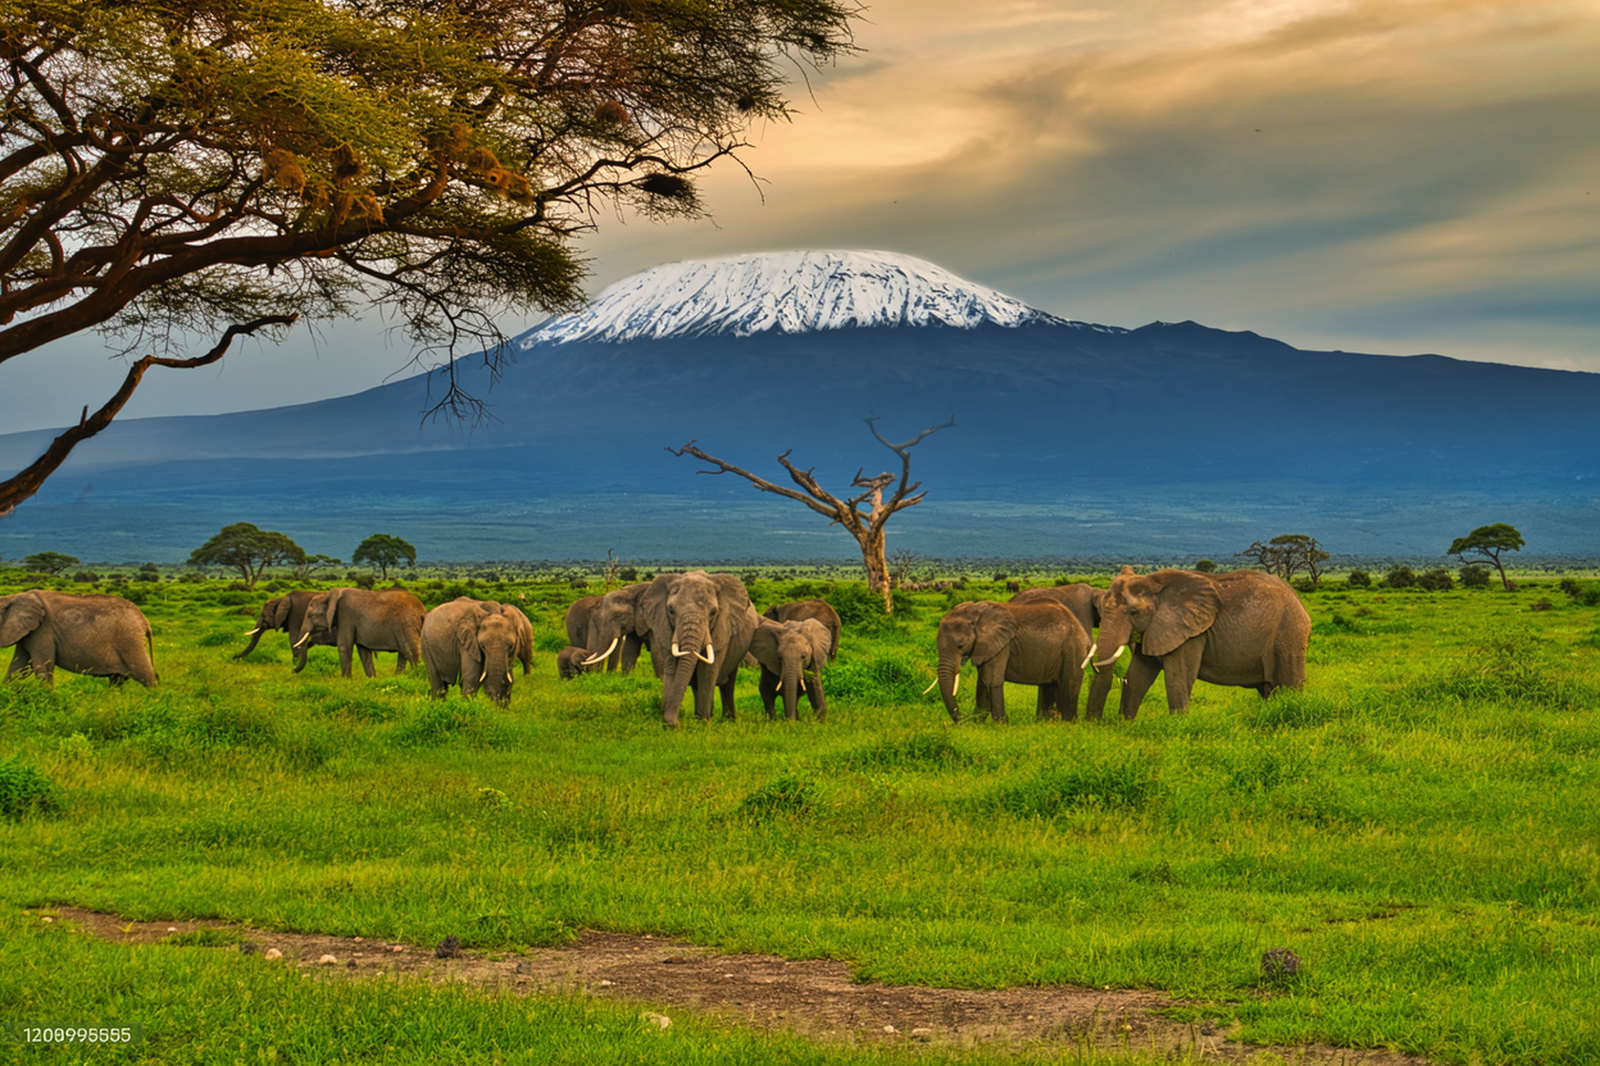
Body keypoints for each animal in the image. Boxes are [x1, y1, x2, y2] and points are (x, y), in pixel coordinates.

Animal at [0, 590, 156, 688]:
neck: (13, 597)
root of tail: (144, 621)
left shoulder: (42, 630)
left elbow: (42, 667)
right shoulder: (28, 634)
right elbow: (18, 668)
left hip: (130, 641)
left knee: (146, 675)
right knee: (116, 680)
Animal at [294, 587, 425, 679]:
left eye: (311, 615)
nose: (293, 670)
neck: (328, 595)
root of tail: (422, 610)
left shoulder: (345, 616)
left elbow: (344, 646)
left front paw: (345, 680)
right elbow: (363, 651)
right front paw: (372, 679)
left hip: (406, 626)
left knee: (411, 652)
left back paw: (414, 675)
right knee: (404, 653)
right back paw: (398, 676)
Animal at [638, 571, 759, 727]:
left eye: (713, 612)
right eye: (671, 611)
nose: (675, 724)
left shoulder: (723, 628)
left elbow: (707, 671)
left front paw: (703, 724)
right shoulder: (663, 626)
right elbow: (671, 666)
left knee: (728, 683)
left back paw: (727, 720)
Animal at [933, 600, 1090, 724]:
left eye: (960, 646)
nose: (962, 719)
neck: (976, 614)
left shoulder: (1002, 645)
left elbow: (992, 681)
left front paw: (1000, 726)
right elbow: (982, 682)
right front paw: (976, 724)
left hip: (1073, 649)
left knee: (1069, 685)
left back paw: (1068, 724)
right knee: (1048, 686)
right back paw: (1044, 723)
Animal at [1088, 566, 1310, 718]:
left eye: (1134, 612)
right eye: (1099, 609)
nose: (1095, 723)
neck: (1154, 582)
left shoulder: (1189, 634)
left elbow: (1178, 678)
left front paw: (1177, 728)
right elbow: (1137, 677)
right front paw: (1124, 724)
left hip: (1288, 636)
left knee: (1287, 688)